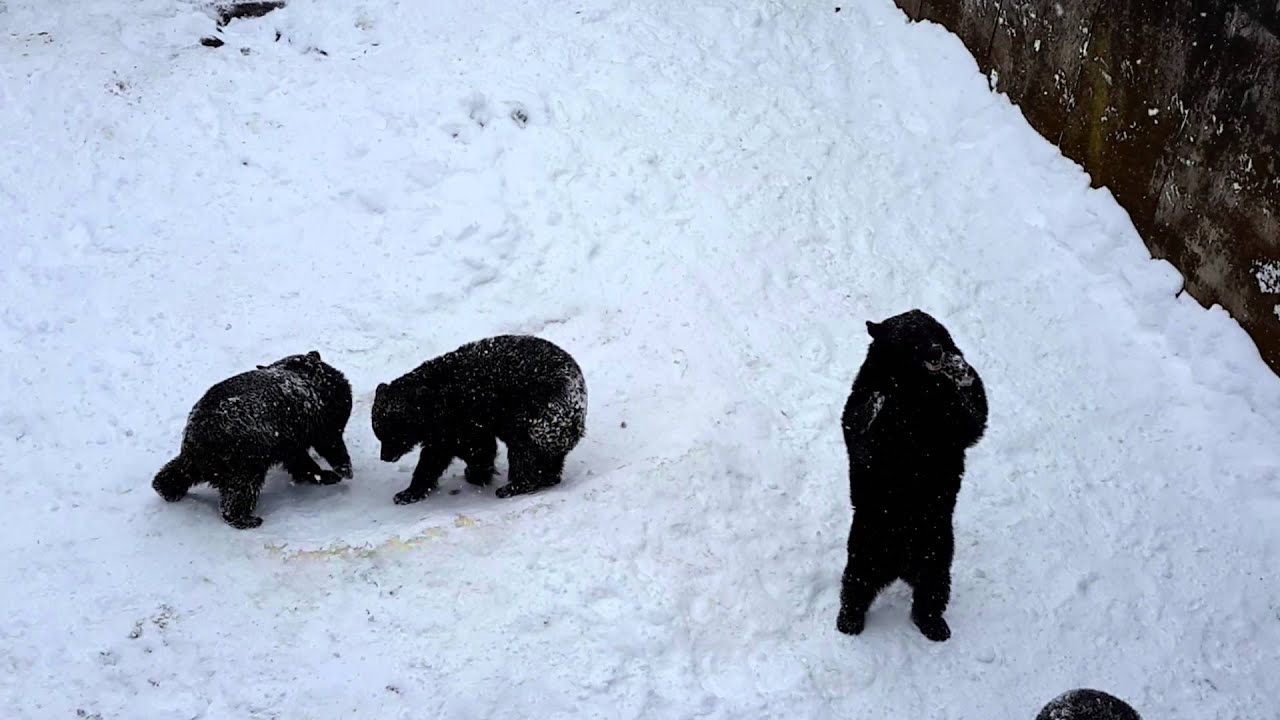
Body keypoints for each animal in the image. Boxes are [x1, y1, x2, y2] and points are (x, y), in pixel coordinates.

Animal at [152, 350, 353, 529]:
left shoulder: (289, 438)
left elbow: (299, 460)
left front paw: (322, 474)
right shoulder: (317, 422)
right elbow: (329, 443)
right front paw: (342, 470)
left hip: (199, 457)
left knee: (180, 469)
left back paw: (165, 488)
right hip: (245, 454)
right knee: (242, 488)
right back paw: (244, 518)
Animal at [371, 334, 586, 504]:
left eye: (394, 434)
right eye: (379, 433)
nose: (385, 456)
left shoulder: (464, 416)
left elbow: (465, 449)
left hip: (537, 415)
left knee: (524, 449)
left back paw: (514, 486)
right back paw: (548, 476)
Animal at [835, 309, 987, 642]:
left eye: (934, 331)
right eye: (909, 338)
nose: (936, 352)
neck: (915, 391)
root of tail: (898, 567)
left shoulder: (953, 425)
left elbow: (974, 414)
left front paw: (960, 368)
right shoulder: (861, 411)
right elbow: (858, 421)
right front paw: (877, 403)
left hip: (937, 558)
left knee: (930, 596)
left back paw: (935, 626)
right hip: (866, 551)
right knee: (854, 588)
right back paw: (848, 622)